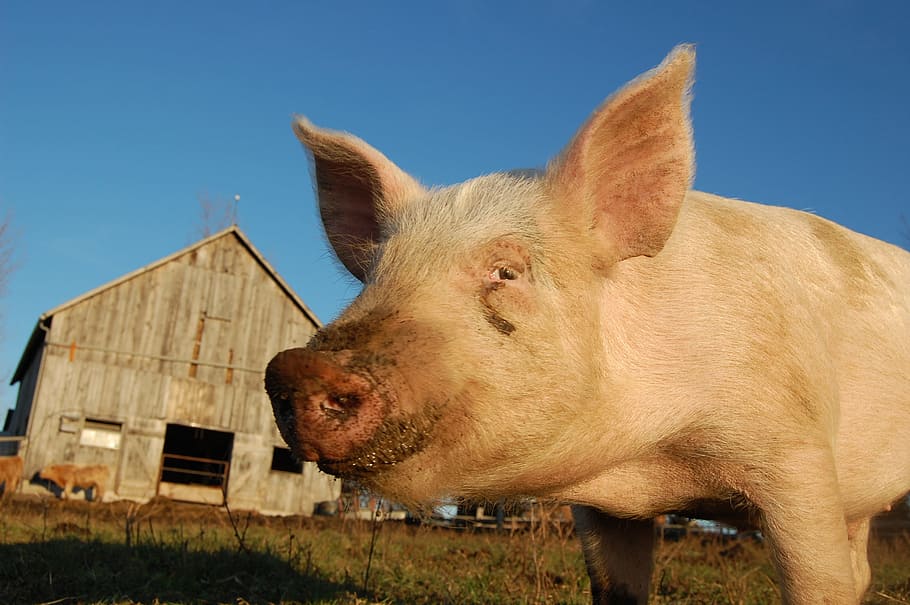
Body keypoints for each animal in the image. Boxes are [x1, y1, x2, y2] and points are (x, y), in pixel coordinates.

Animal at [266, 45, 910, 604]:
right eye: (375, 275)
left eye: (507, 271)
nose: (299, 366)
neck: (649, 462)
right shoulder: (603, 510)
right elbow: (615, 589)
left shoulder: (799, 453)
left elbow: (817, 585)